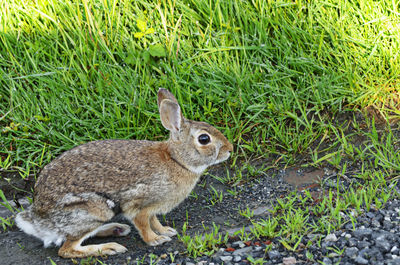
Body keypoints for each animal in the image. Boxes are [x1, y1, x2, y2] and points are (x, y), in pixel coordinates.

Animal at [15, 87, 233, 256]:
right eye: (204, 139)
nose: (230, 149)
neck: (177, 160)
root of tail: (37, 220)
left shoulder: (152, 208)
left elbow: (154, 221)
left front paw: (166, 231)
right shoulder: (138, 205)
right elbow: (143, 224)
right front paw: (155, 240)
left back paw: (117, 229)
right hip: (94, 209)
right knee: (67, 249)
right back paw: (110, 247)